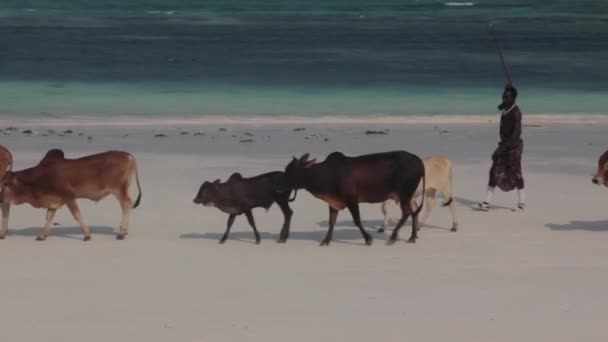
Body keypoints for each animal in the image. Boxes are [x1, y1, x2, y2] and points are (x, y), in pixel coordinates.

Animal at [1, 149, 141, 240]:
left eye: (6, 184)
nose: (1, 198)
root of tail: (128, 156)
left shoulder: (69, 197)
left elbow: (77, 215)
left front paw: (87, 235)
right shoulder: (53, 201)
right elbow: (48, 217)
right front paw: (42, 235)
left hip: (118, 190)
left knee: (127, 204)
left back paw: (122, 232)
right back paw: (124, 231)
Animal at [280, 152, 426, 246]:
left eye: (291, 171)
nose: (279, 187)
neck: (327, 174)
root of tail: (418, 161)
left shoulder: (352, 200)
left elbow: (357, 220)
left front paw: (368, 239)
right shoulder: (333, 203)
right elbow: (331, 222)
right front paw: (326, 241)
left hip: (404, 195)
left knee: (407, 213)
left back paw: (393, 237)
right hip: (407, 196)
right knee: (414, 212)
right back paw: (412, 237)